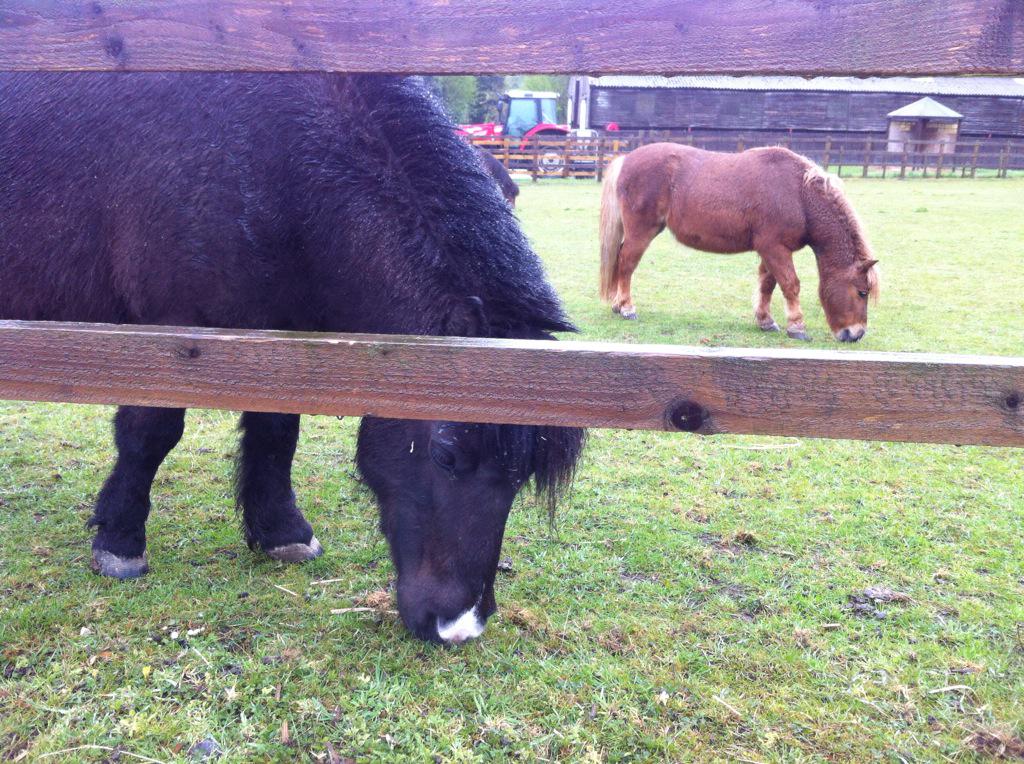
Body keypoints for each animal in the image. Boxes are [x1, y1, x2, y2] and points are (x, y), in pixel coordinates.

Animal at [0, 72, 584, 644]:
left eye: (520, 478)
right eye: (445, 454)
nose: (460, 627)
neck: (266, 161)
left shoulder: (283, 335)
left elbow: (277, 431)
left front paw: (282, 531)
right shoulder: (165, 334)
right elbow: (150, 434)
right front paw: (120, 542)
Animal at [599, 143, 879, 342]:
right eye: (861, 292)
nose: (856, 335)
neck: (798, 194)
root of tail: (626, 160)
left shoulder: (771, 250)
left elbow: (768, 284)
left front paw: (765, 321)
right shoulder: (775, 249)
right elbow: (790, 285)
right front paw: (796, 326)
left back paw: (617, 306)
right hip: (641, 232)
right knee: (626, 263)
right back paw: (626, 308)